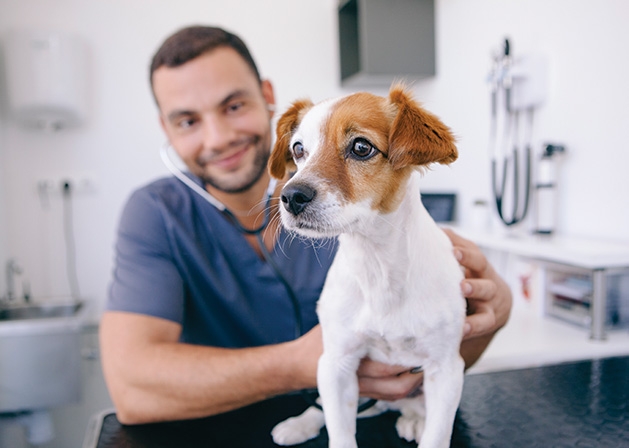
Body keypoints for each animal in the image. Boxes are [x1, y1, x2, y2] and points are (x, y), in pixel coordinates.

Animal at [268, 85, 464, 448]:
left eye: (361, 147)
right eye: (298, 149)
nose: (290, 197)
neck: (376, 265)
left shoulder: (445, 370)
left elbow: (436, 435)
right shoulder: (337, 363)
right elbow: (340, 431)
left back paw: (413, 418)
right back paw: (301, 423)